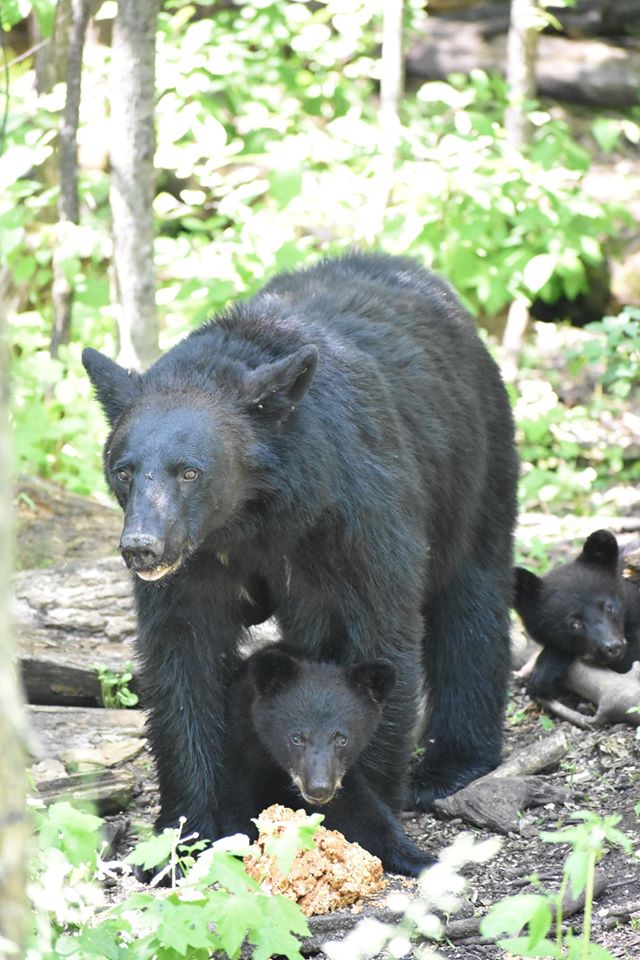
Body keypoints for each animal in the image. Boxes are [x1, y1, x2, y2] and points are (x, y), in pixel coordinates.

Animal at [82, 251, 516, 844]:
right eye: (124, 471)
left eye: (189, 471)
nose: (142, 547)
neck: (252, 519)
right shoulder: (194, 566)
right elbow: (183, 658)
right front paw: (189, 826)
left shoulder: (353, 518)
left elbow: (377, 635)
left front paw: (363, 811)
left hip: (474, 462)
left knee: (473, 599)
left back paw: (451, 763)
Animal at [220, 644, 436, 876]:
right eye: (296, 738)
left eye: (342, 739)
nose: (319, 789)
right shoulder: (239, 756)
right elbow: (235, 810)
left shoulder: (342, 778)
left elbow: (363, 815)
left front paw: (425, 860)